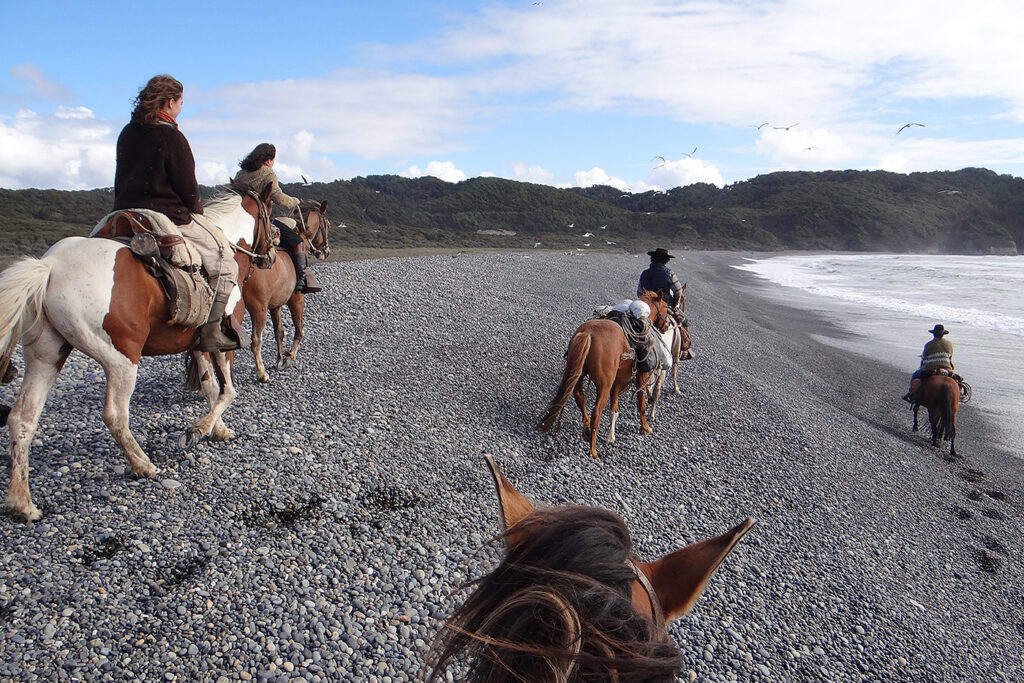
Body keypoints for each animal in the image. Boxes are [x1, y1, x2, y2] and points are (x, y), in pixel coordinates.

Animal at [0, 188, 274, 524]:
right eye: (269, 218)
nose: (272, 254)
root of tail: (51, 265)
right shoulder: (223, 343)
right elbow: (228, 391)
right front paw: (198, 430)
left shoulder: (198, 345)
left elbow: (211, 387)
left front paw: (216, 429)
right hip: (121, 361)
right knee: (115, 415)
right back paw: (143, 464)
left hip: (46, 357)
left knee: (22, 418)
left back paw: (22, 502)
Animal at [238, 201, 327, 385]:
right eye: (327, 224)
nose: (326, 251)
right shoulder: (297, 300)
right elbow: (299, 331)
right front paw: (289, 357)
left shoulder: (275, 306)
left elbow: (279, 332)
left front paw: (279, 358)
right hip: (258, 310)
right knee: (255, 341)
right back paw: (261, 373)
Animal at [536, 290, 671, 458]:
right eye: (665, 306)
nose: (667, 324)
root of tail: (588, 333)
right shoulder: (640, 376)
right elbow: (641, 404)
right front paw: (645, 428)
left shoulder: (617, 383)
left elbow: (615, 407)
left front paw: (611, 435)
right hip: (603, 386)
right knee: (596, 413)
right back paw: (593, 451)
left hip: (579, 376)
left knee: (580, 399)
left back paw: (587, 429)